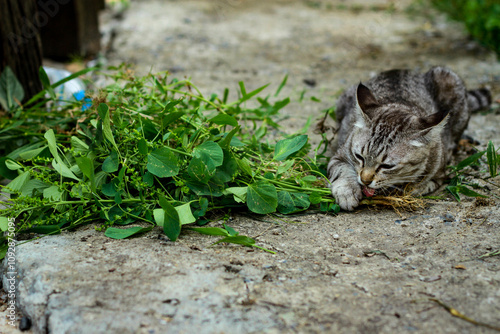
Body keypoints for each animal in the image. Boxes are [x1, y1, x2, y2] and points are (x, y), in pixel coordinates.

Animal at [328, 66, 492, 210]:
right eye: (359, 157)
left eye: (387, 166)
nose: (365, 180)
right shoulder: (339, 155)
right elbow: (342, 170)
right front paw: (347, 192)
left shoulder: (440, 171)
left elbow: (426, 182)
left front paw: (414, 187)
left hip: (449, 79)